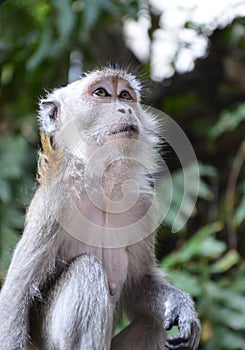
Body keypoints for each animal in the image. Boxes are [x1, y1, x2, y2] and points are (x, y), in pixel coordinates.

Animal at [0, 67, 201, 348]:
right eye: (101, 93)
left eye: (126, 96)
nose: (125, 108)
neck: (103, 186)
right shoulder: (56, 201)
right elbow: (16, 297)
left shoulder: (143, 204)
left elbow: (138, 287)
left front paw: (182, 306)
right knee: (86, 271)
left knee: (153, 323)